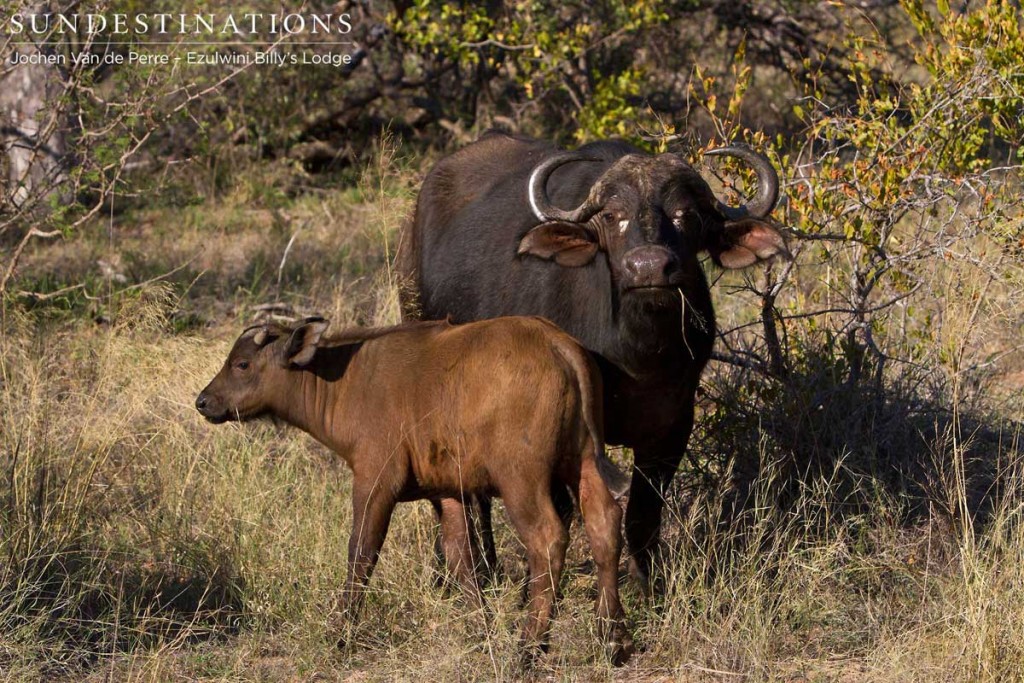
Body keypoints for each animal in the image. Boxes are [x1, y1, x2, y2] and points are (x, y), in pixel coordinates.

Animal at [193, 317, 630, 663]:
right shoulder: (448, 493)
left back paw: (530, 647)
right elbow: (461, 560)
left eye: (242, 364)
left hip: (522, 478)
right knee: (605, 524)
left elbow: (362, 552)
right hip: (582, 462)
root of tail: (561, 346)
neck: (347, 380)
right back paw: (611, 638)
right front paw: (481, 629)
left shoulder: (374, 482)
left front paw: (340, 634)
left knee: (548, 538)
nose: (203, 402)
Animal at [395, 132, 786, 589]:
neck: (635, 356)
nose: (649, 267)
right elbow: (562, 512)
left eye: (685, 213)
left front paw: (645, 586)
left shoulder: (672, 428)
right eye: (613, 215)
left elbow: (642, 516)